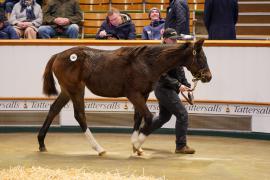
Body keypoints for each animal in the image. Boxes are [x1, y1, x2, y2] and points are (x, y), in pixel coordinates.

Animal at [38, 39, 212, 156]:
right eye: (201, 57)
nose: (208, 77)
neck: (147, 62)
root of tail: (58, 55)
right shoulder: (133, 94)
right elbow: (148, 117)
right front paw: (137, 145)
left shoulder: (143, 94)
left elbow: (138, 117)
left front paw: (137, 147)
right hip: (76, 89)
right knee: (79, 115)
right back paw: (99, 149)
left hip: (66, 91)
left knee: (53, 109)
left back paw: (41, 143)